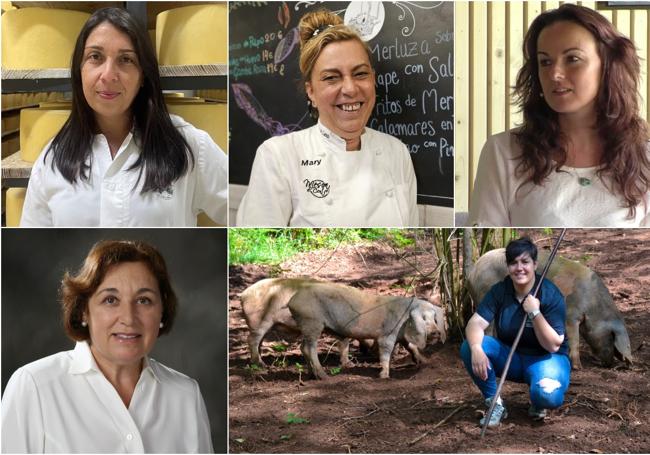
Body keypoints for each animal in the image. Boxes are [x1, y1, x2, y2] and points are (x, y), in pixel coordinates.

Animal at [288, 284, 446, 380]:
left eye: (434, 318)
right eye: (423, 319)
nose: (435, 332)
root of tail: (292, 301)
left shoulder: (402, 336)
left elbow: (411, 347)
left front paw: (425, 361)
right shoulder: (387, 334)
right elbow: (386, 352)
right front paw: (384, 376)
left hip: (306, 324)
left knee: (302, 347)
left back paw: (311, 375)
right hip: (311, 322)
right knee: (310, 348)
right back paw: (324, 376)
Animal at [466, 249, 632, 370]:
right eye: (611, 336)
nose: (610, 364)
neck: (594, 305)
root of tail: (472, 273)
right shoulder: (571, 315)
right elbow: (574, 339)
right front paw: (578, 367)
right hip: (485, 294)